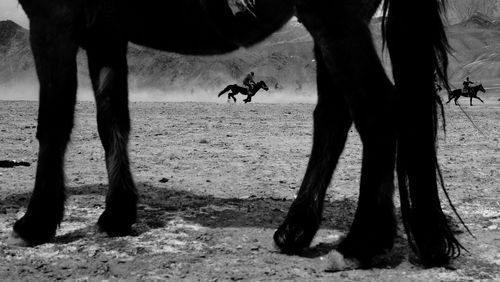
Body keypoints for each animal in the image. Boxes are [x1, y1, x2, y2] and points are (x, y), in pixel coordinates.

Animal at [12, 0, 464, 268]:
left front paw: (36, 221)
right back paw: (296, 231)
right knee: (334, 116)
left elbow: (52, 122)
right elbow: (112, 120)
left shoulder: (54, 17)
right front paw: (118, 213)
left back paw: (361, 243)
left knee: (377, 110)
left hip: (333, 16)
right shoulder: (105, 31)